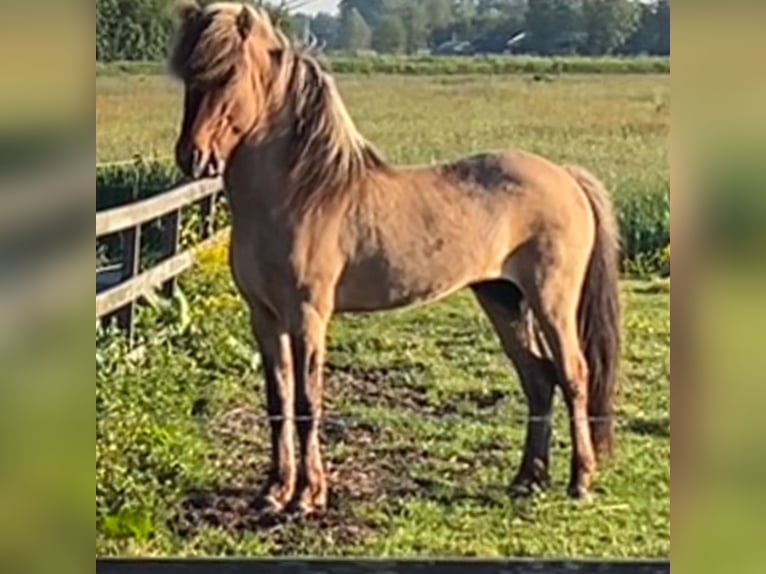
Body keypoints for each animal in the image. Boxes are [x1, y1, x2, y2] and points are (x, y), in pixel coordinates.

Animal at [170, 1, 624, 516]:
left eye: (228, 73)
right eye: (188, 75)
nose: (193, 157)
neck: (301, 193)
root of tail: (565, 176)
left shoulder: (308, 315)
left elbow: (307, 401)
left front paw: (308, 495)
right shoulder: (264, 317)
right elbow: (277, 400)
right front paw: (273, 490)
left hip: (552, 302)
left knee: (573, 375)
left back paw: (579, 480)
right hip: (502, 298)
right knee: (538, 378)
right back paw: (527, 479)